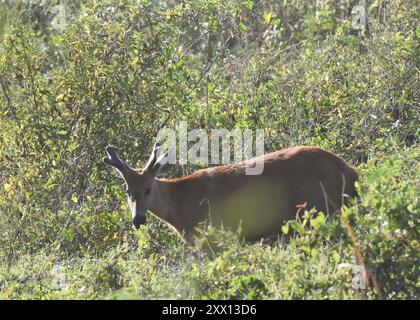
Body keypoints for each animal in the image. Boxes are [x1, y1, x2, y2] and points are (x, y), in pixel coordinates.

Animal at [101, 144, 358, 241]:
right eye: (127, 191)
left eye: (148, 189)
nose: (138, 220)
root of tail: (349, 170)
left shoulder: (210, 238)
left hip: (318, 208)